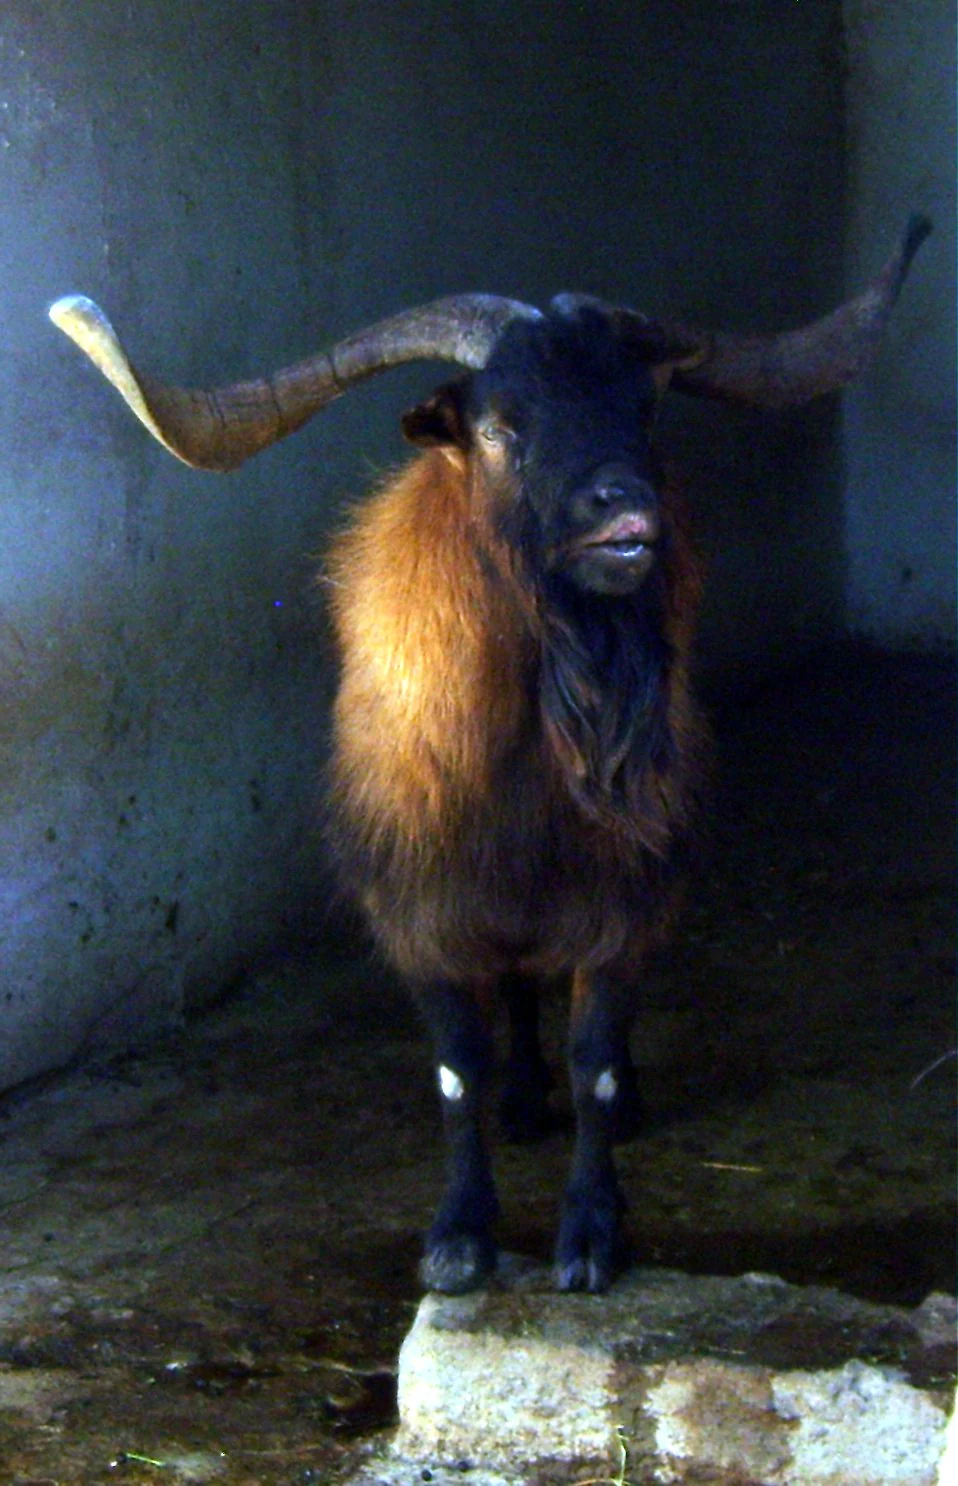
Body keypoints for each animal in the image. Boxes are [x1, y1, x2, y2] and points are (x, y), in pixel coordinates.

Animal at [51, 215, 929, 1294]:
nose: (627, 513)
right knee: (511, 992)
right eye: (504, 427)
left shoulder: (625, 898)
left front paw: (591, 1234)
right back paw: (520, 1100)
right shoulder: (423, 907)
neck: (523, 761)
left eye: (642, 406)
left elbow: (596, 1060)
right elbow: (455, 1070)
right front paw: (461, 1236)